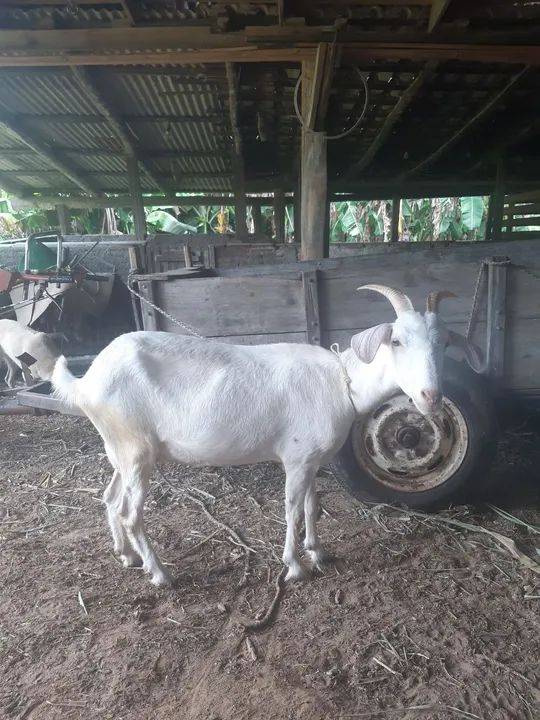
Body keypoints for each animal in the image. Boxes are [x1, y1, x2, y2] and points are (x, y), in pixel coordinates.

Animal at [52, 285, 481, 587]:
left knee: (110, 498)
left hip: (120, 448)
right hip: (136, 449)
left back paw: (126, 556)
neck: (341, 382)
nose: (430, 396)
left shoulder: (312, 459)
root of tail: (87, 380)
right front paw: (294, 566)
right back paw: (159, 573)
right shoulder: (295, 457)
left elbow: (312, 505)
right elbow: (291, 508)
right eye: (396, 340)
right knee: (130, 513)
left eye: (444, 342)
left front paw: (318, 552)